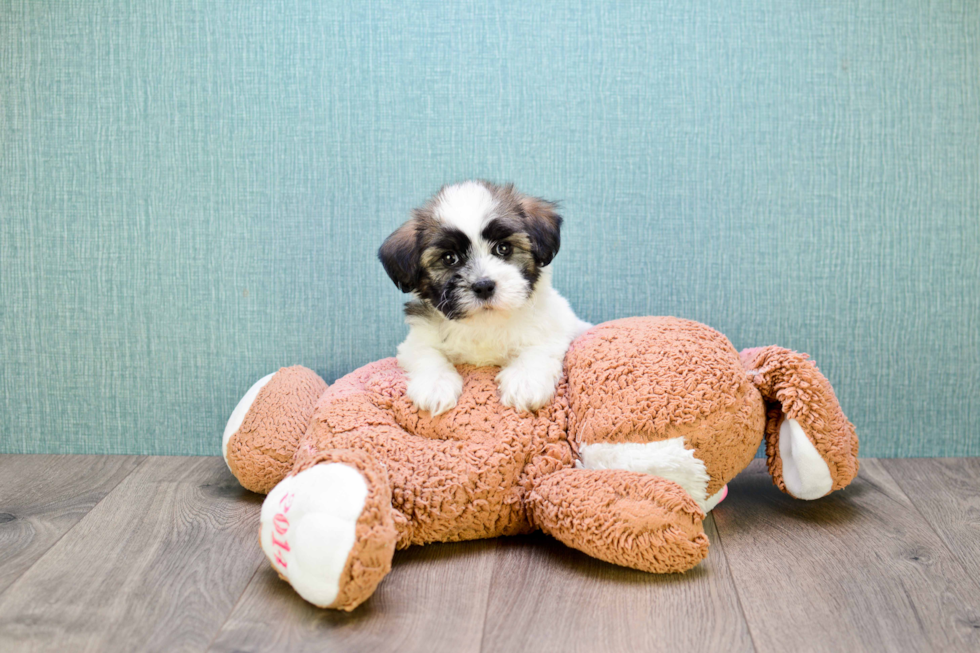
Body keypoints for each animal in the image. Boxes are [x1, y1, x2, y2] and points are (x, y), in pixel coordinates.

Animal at [378, 178, 588, 412]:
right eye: (449, 258)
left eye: (503, 248)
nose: (484, 286)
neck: (485, 323)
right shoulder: (415, 341)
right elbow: (427, 353)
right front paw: (435, 386)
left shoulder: (556, 326)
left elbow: (539, 347)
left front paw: (524, 381)